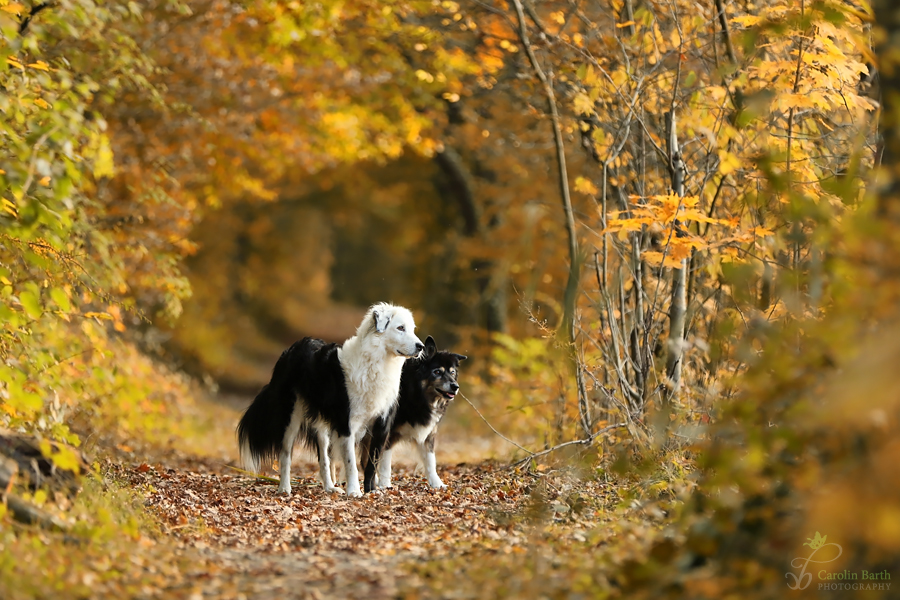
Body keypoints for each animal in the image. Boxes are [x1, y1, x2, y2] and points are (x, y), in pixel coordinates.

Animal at [237, 304, 424, 496]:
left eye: (412, 329)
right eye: (400, 328)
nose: (421, 347)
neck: (377, 363)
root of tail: (293, 348)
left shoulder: (381, 424)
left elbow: (371, 463)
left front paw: (371, 491)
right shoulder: (347, 423)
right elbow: (351, 463)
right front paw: (354, 491)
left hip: (322, 426)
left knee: (324, 459)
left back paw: (329, 487)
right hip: (291, 418)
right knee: (285, 454)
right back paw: (284, 488)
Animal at [362, 336, 468, 490]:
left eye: (452, 372)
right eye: (437, 372)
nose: (455, 386)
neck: (416, 394)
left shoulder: (428, 434)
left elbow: (430, 461)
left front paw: (437, 484)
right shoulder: (388, 435)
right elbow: (385, 463)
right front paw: (385, 484)